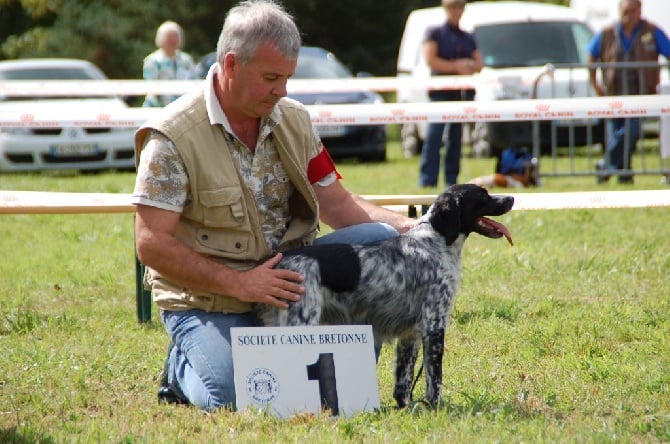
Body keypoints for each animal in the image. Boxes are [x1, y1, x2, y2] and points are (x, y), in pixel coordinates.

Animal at [256, 185, 516, 410]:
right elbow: (434, 378)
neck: (435, 242)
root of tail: (281, 262)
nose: (511, 198)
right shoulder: (434, 324)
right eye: (482, 196)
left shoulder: (411, 334)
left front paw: (406, 407)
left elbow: (404, 380)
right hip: (300, 323)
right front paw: (435, 407)